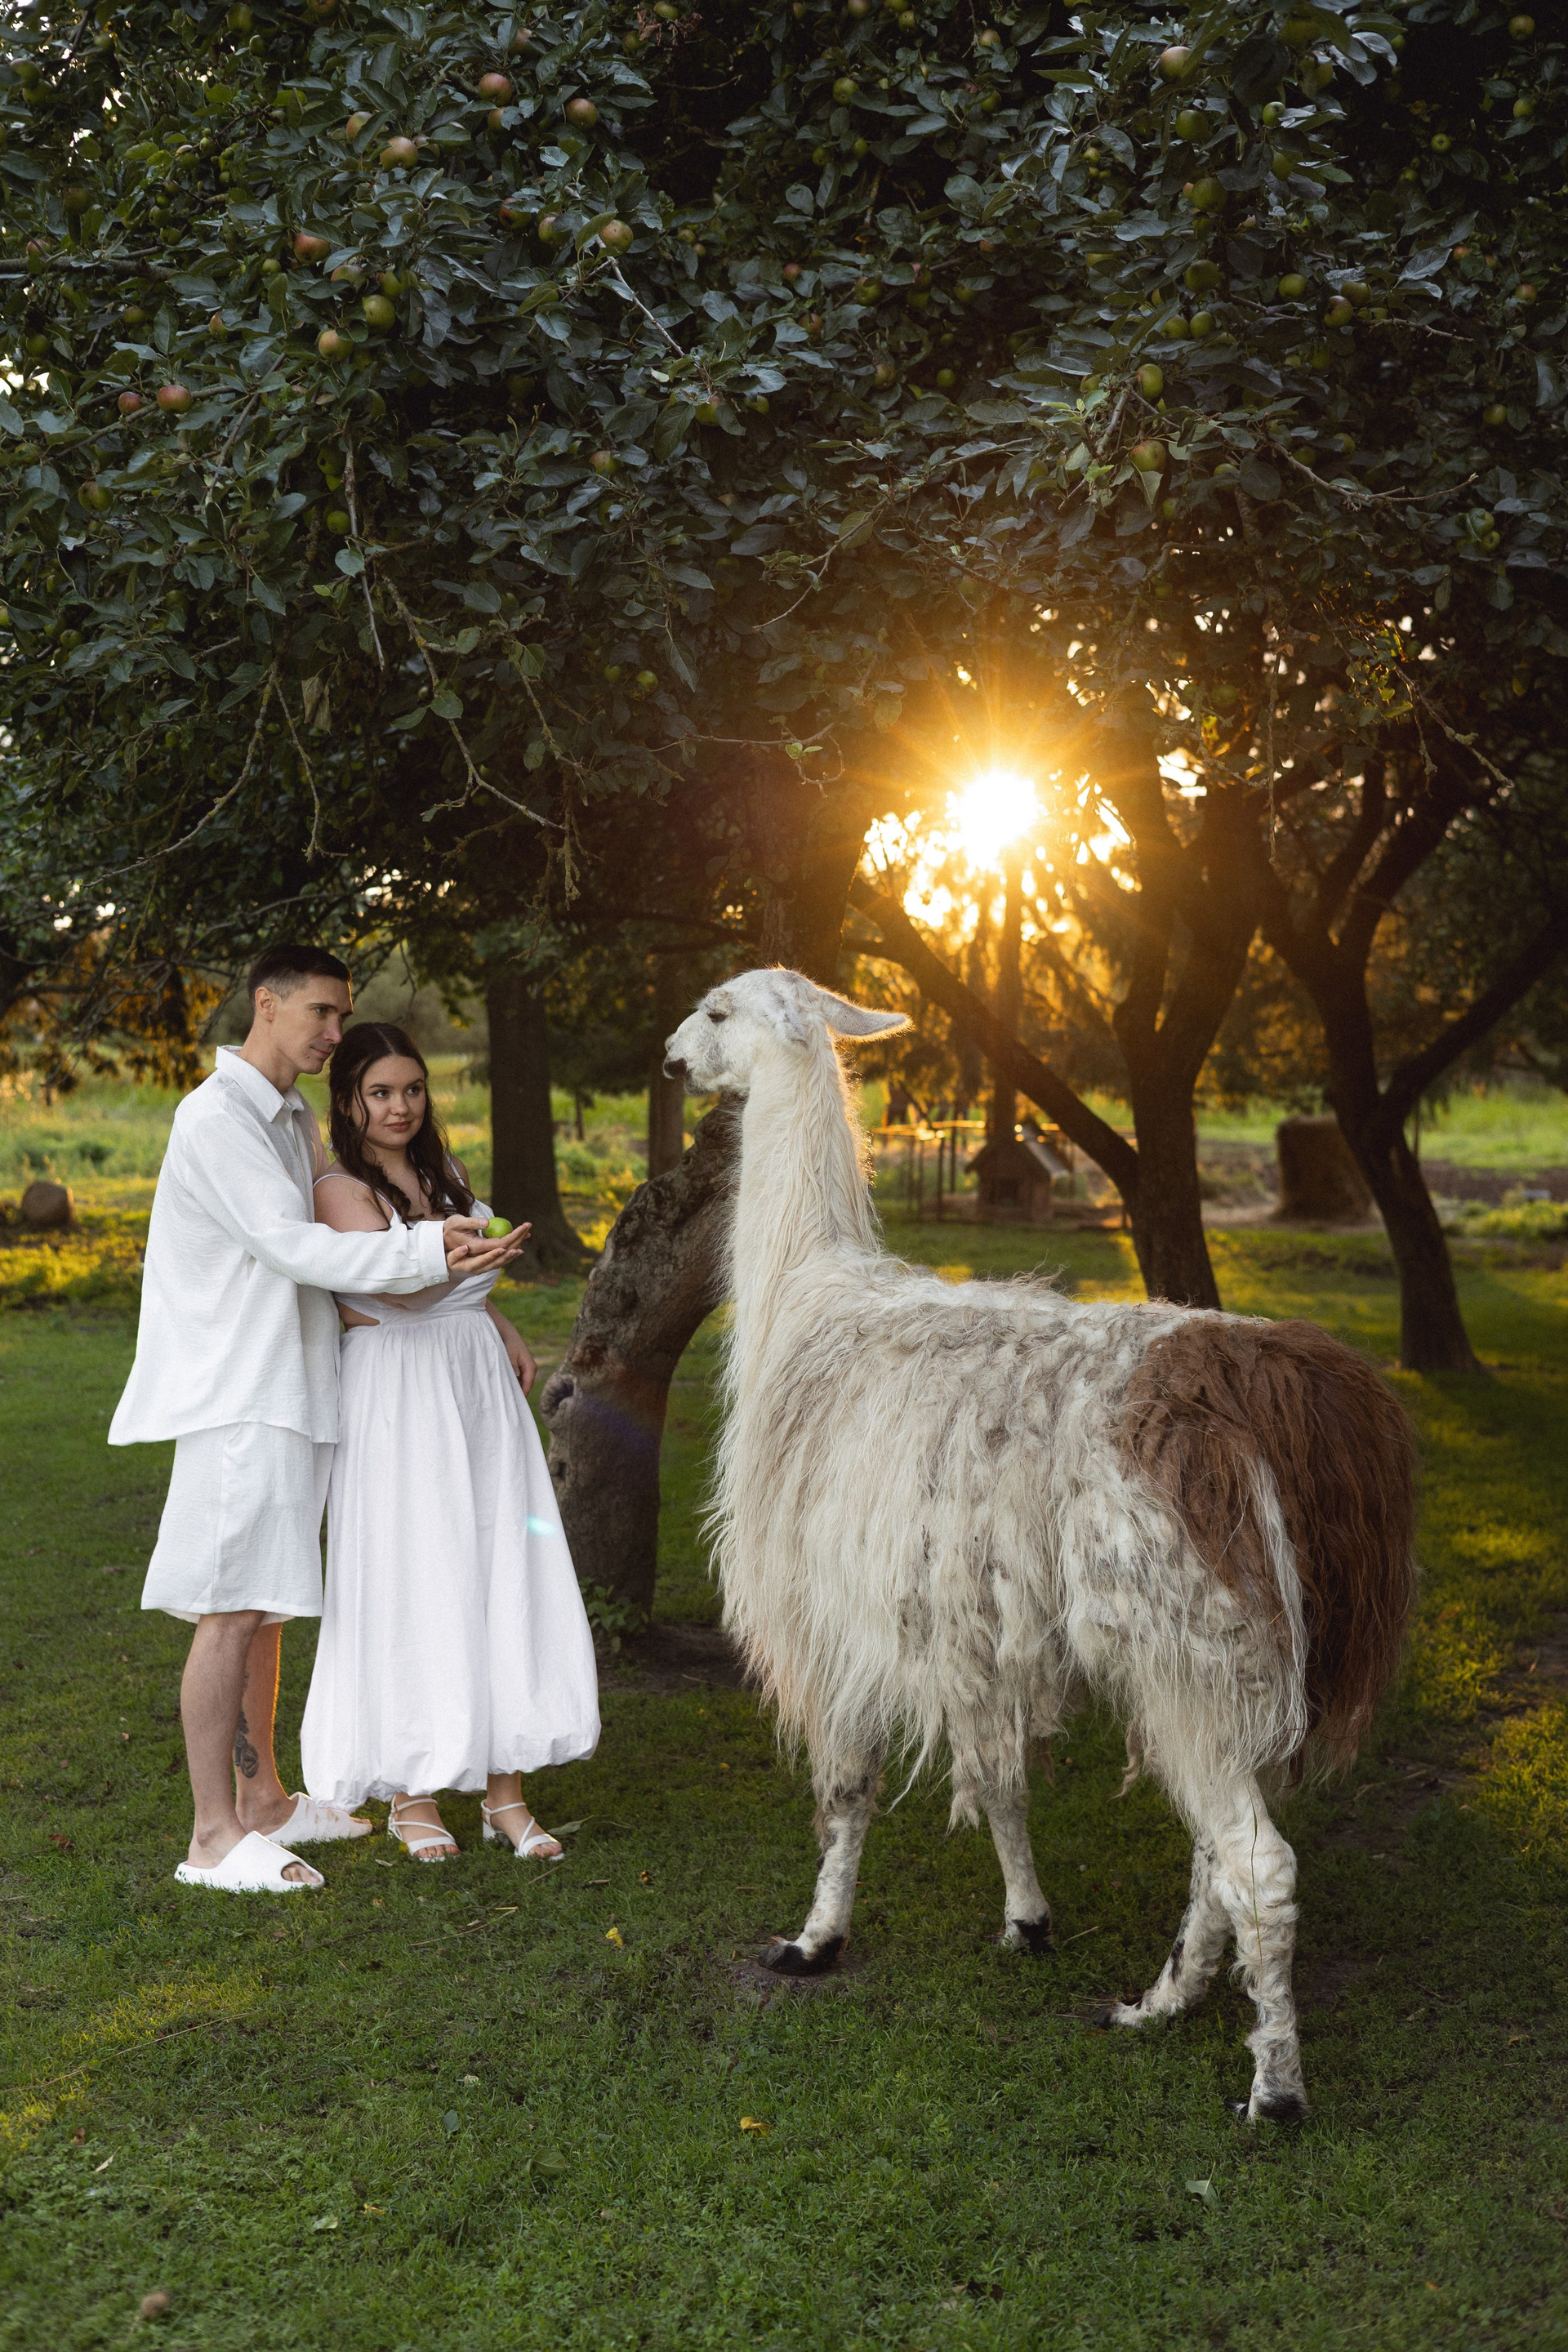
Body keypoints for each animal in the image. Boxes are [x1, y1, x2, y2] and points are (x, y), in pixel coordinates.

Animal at [663, 967, 1417, 2123]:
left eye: (714, 1010)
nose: (667, 1059)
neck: (804, 1300)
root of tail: (1280, 1387)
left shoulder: (832, 1610)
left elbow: (846, 1790)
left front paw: (813, 1939)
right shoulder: (970, 1620)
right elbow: (1001, 1777)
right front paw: (1028, 1919)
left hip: (1188, 1636)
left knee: (1258, 1863)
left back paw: (1274, 2087)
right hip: (1233, 1660)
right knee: (1215, 1851)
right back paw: (1161, 2005)